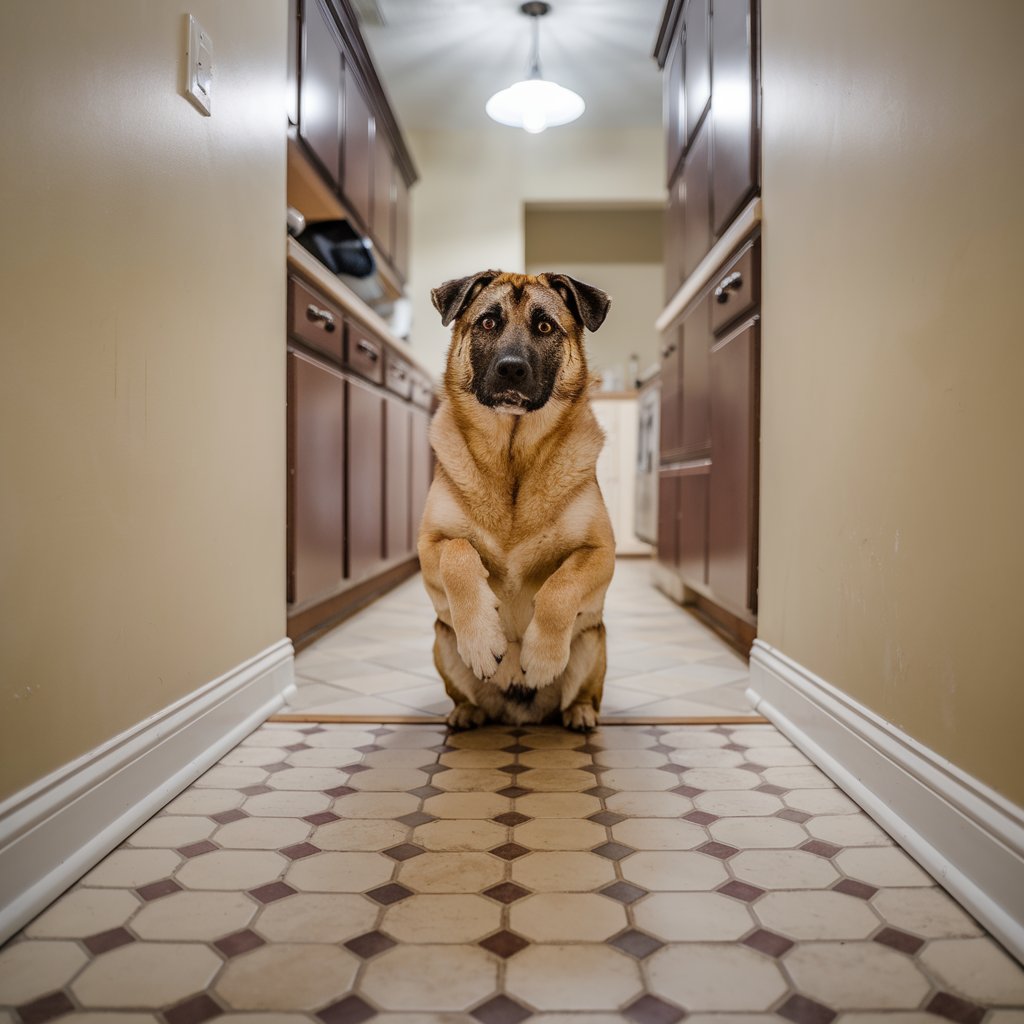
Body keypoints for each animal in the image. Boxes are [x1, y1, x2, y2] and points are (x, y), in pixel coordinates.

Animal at [417, 268, 614, 733]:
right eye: (488, 322)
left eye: (545, 327)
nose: (511, 369)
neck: (512, 462)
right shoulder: (429, 546)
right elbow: (457, 554)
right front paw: (482, 640)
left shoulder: (600, 553)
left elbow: (561, 587)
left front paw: (541, 658)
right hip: (441, 640)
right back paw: (465, 713)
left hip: (594, 642)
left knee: (586, 692)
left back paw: (580, 712)